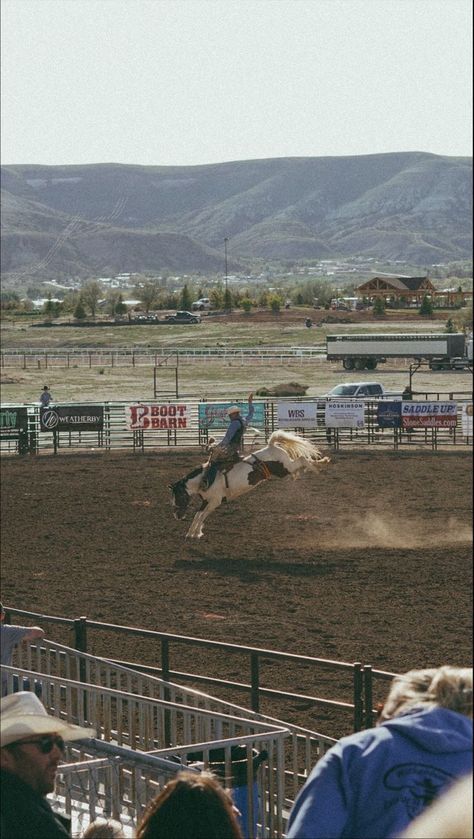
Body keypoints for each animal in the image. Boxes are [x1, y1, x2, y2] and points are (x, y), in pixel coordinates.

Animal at [170, 430, 330, 540]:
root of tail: (271, 446)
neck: (205, 478)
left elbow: (202, 515)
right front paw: (193, 533)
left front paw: (195, 533)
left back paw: (318, 466)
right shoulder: (206, 501)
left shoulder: (215, 501)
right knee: (301, 462)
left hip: (285, 468)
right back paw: (319, 464)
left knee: (302, 459)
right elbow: (198, 515)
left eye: (179, 496)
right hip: (284, 470)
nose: (177, 516)